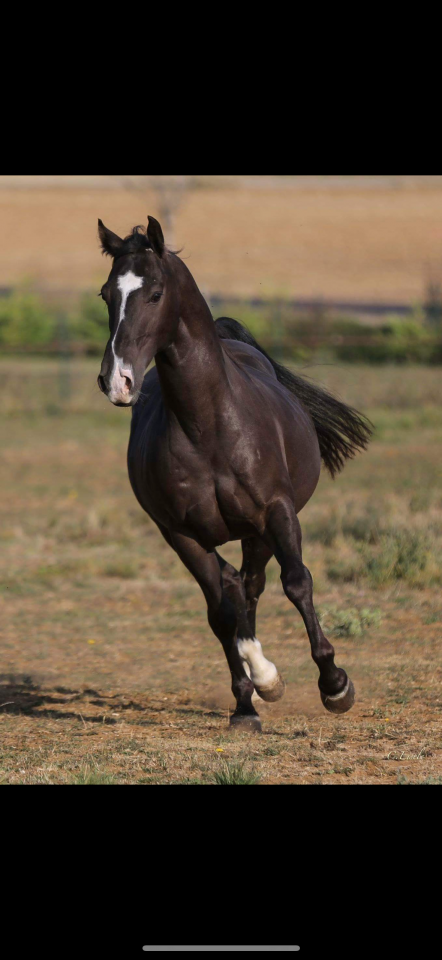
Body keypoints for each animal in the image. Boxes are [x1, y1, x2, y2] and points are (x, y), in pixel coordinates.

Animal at [97, 215, 372, 732]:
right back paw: (259, 682)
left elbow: (296, 582)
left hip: (256, 532)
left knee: (254, 585)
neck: (208, 429)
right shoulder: (181, 535)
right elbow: (223, 614)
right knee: (232, 591)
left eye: (155, 293)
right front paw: (252, 696)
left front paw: (334, 684)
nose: (117, 381)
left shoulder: (276, 513)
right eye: (106, 294)